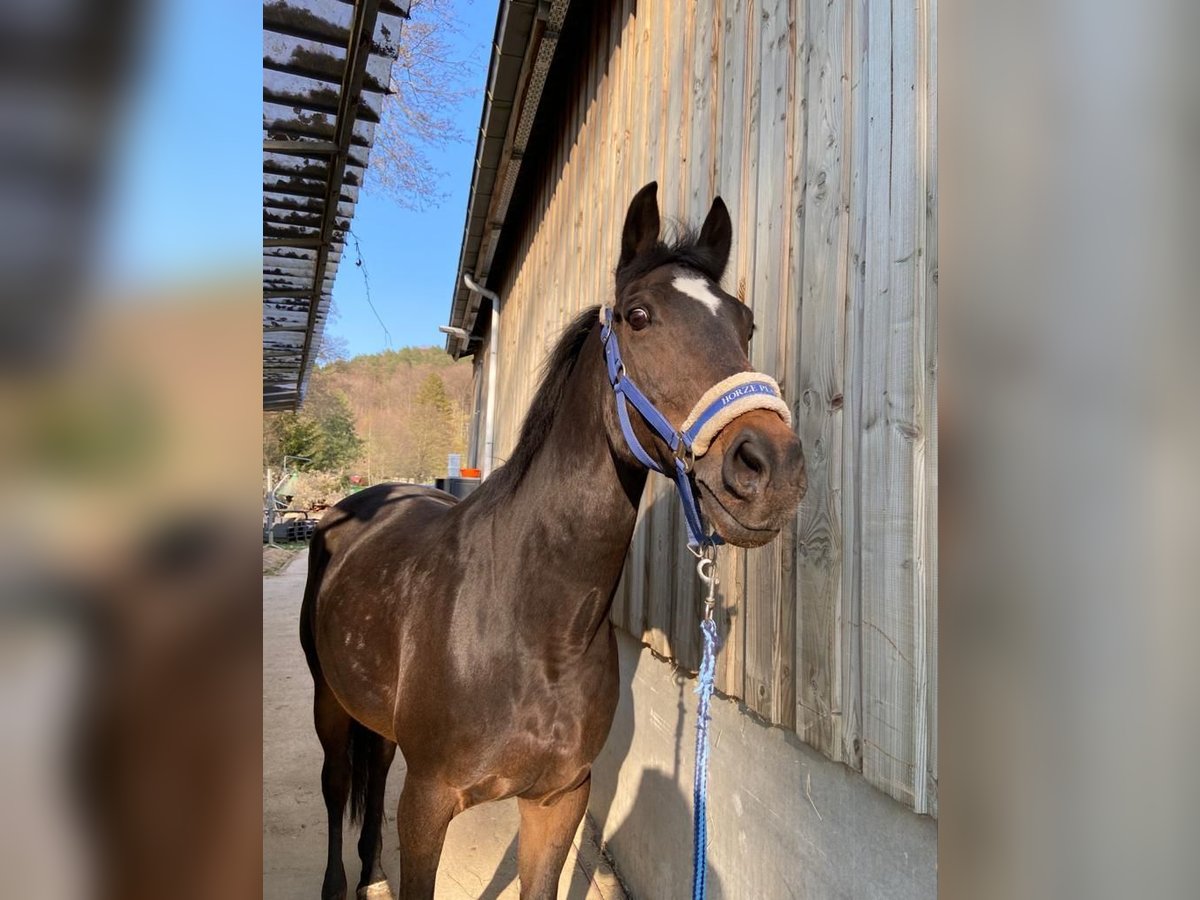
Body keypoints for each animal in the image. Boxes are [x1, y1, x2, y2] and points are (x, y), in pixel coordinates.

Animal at [298, 184, 806, 900]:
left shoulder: (559, 799)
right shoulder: (427, 804)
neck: (532, 627)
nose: (772, 468)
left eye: (747, 324)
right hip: (329, 704)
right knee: (338, 786)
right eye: (638, 316)